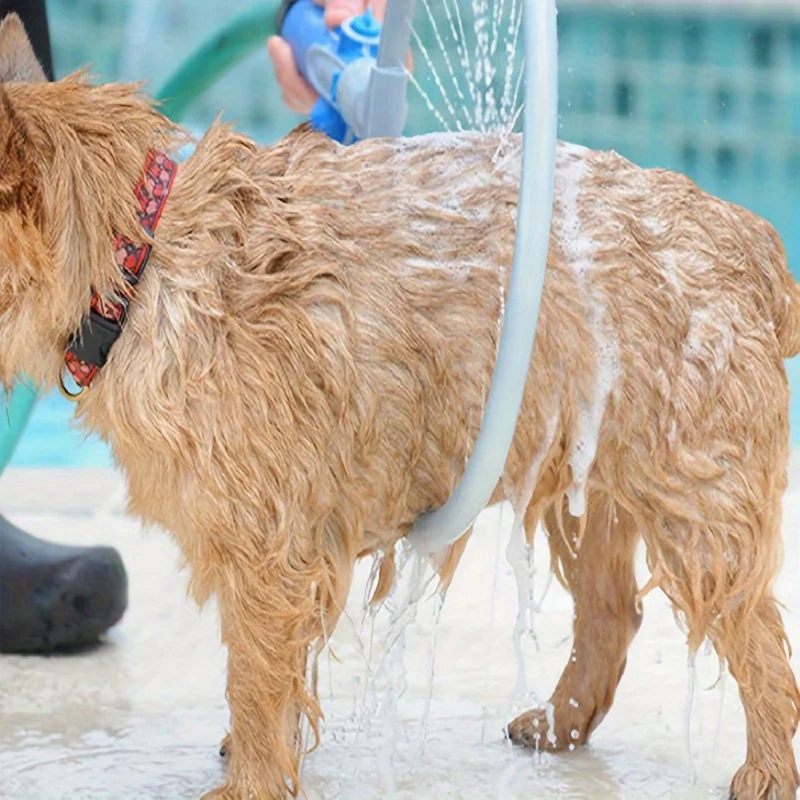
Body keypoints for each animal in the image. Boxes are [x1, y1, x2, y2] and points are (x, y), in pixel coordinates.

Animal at [1, 14, 800, 800]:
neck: (138, 262)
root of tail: (749, 237)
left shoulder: (268, 547)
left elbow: (255, 681)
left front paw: (250, 781)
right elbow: (275, 683)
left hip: (695, 499)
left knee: (756, 638)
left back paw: (765, 770)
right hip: (583, 476)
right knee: (613, 612)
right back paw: (559, 723)